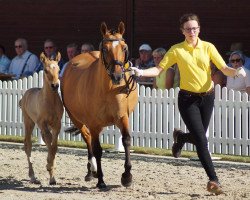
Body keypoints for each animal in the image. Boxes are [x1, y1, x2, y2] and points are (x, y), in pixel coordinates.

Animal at [19, 52, 64, 185]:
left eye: (59, 69)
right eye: (45, 70)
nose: (55, 85)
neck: (50, 102)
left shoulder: (57, 124)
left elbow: (54, 146)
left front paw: (52, 176)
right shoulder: (42, 123)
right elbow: (49, 142)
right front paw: (49, 166)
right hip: (29, 122)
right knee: (27, 145)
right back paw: (33, 176)